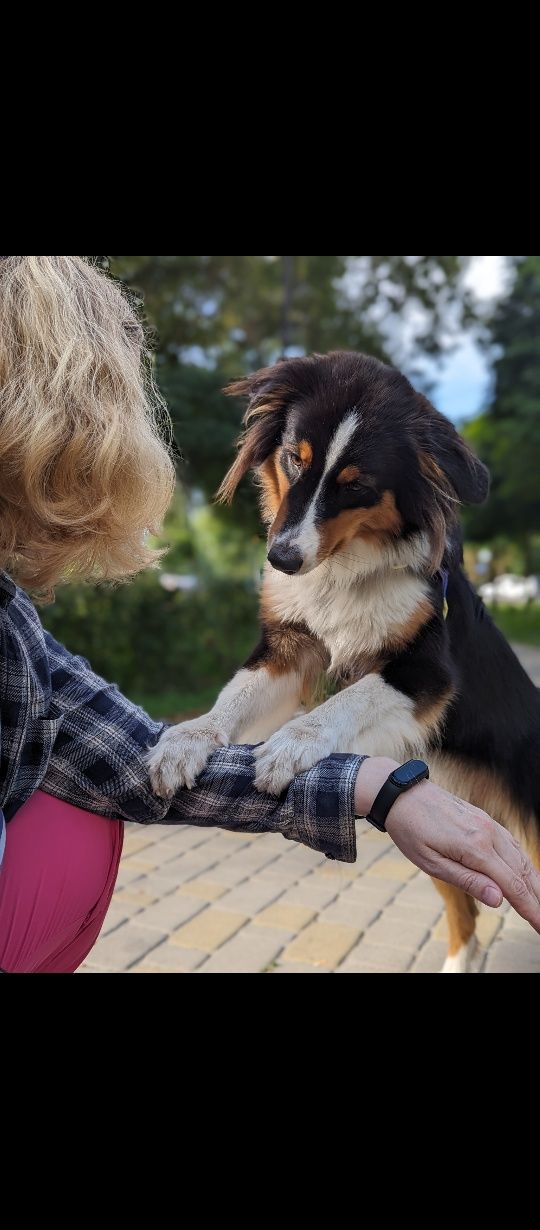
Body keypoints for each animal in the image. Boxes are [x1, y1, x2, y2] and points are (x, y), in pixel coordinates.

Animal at [146, 354, 540, 969]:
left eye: (357, 487)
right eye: (293, 458)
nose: (281, 559)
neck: (345, 570)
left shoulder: (427, 673)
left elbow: (350, 698)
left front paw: (291, 745)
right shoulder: (289, 649)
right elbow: (235, 695)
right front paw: (188, 738)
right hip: (450, 834)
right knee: (466, 911)